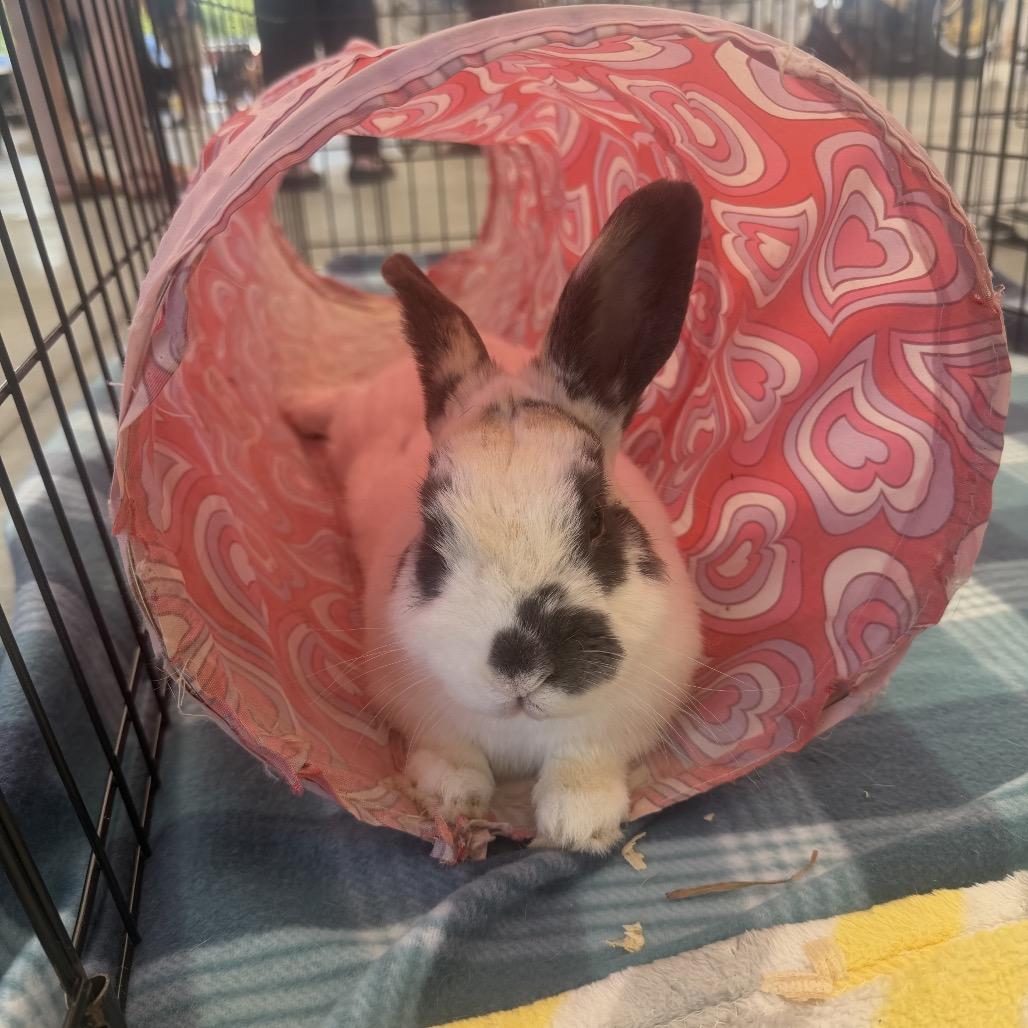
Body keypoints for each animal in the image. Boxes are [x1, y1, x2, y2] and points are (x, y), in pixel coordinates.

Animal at [285, 180, 704, 852]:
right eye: (433, 536)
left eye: (597, 522)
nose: (522, 665)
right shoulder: (420, 709)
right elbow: (452, 754)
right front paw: (452, 799)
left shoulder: (623, 718)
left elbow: (584, 759)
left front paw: (579, 823)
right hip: (353, 414)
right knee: (333, 404)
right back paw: (293, 408)